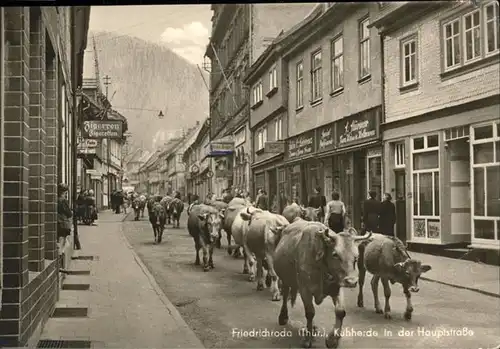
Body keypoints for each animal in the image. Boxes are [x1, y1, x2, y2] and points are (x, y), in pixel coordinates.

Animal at [274, 220, 372, 348]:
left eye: (356, 257)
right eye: (335, 254)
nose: (351, 281)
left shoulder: (337, 287)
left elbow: (340, 311)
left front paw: (332, 340)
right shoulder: (305, 289)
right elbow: (310, 312)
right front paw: (308, 339)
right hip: (285, 279)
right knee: (286, 295)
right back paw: (283, 317)